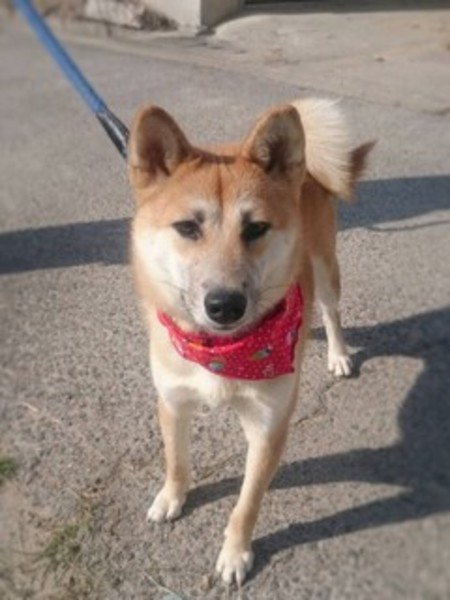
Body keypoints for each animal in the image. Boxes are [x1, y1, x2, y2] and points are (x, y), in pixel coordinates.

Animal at [127, 98, 373, 585]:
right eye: (187, 227)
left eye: (256, 228)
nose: (225, 305)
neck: (225, 352)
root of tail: (306, 169)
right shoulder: (173, 401)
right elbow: (176, 461)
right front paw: (171, 497)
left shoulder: (268, 426)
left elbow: (246, 505)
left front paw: (235, 553)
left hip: (325, 267)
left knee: (331, 312)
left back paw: (337, 354)